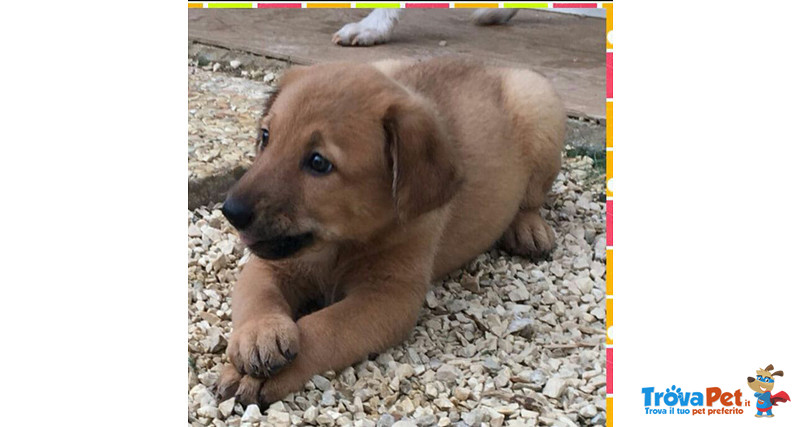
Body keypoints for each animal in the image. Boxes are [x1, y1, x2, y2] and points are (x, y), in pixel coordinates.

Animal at [216, 57, 564, 408]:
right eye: (265, 136)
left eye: (318, 162)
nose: (231, 211)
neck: (337, 249)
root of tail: (487, 66)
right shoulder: (272, 264)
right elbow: (259, 297)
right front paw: (258, 336)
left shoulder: (387, 297)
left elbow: (324, 327)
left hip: (540, 110)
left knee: (531, 199)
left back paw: (528, 229)